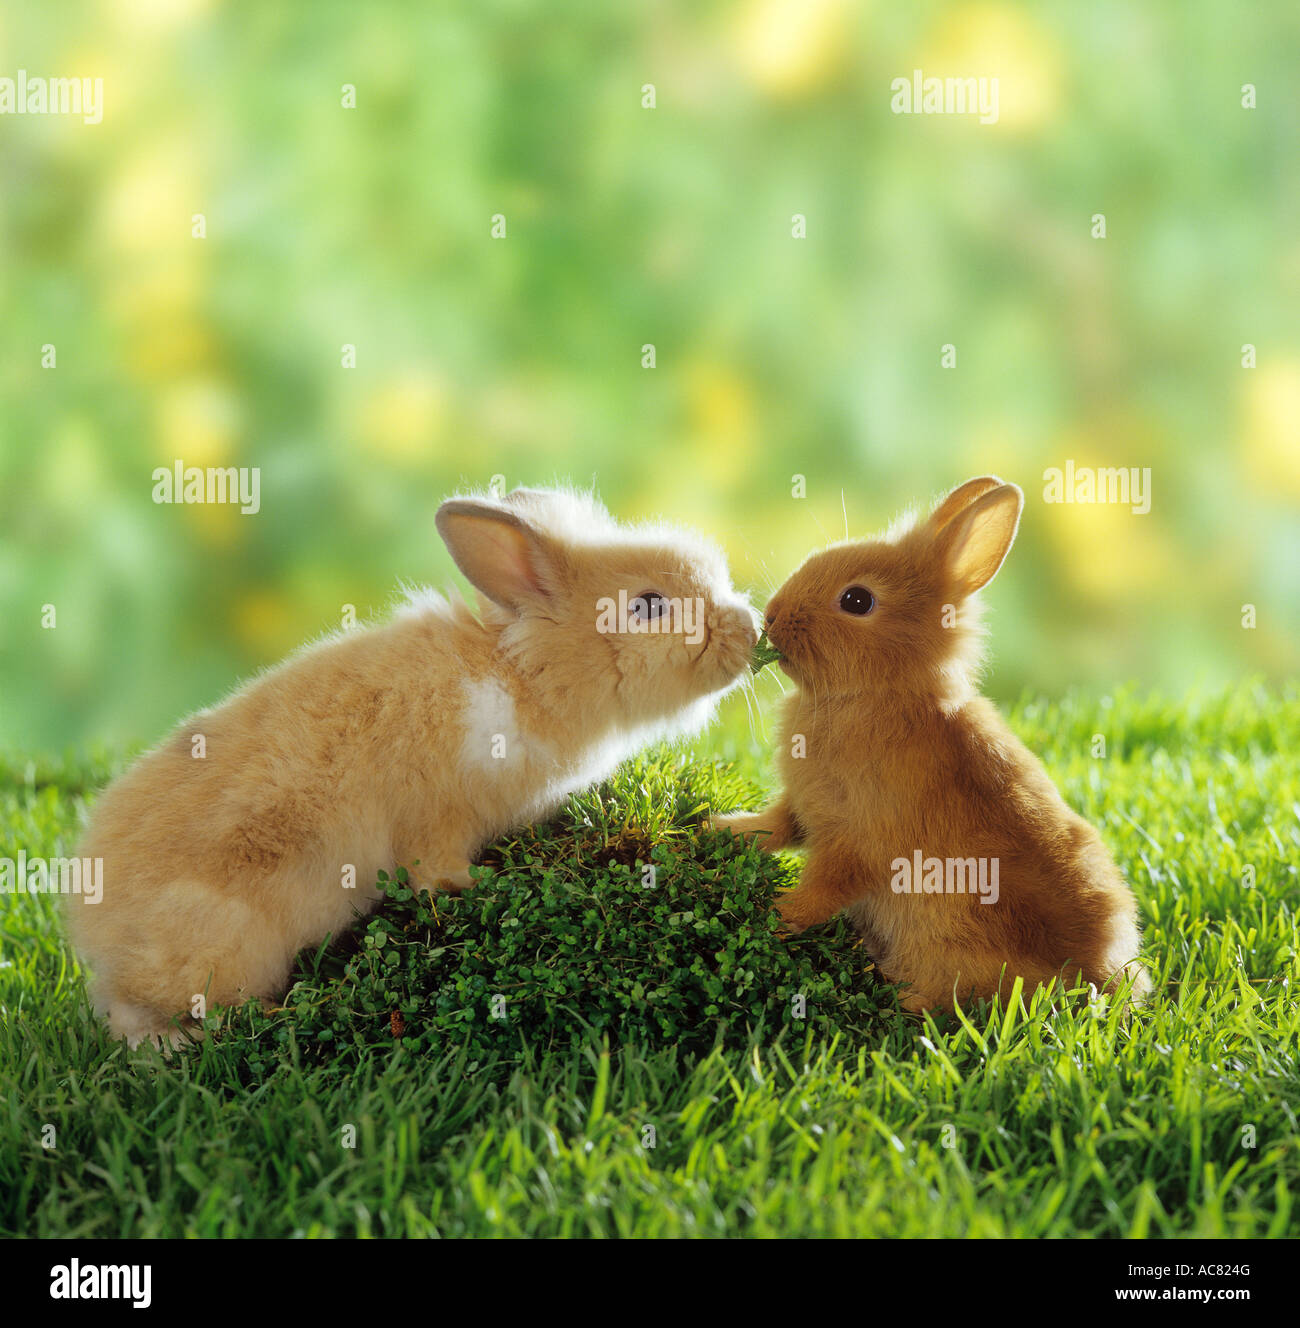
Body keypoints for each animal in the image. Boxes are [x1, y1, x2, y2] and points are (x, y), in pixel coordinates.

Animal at [68, 486, 759, 1047]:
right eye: (649, 605)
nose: (750, 628)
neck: (522, 676)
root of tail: (96, 939)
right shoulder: (437, 816)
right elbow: (432, 869)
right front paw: (475, 886)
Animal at [715, 476, 1150, 1013]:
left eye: (856, 600)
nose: (772, 617)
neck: (881, 693)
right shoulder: (801, 807)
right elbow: (774, 827)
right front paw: (718, 828)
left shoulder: (859, 842)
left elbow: (825, 885)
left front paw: (777, 913)